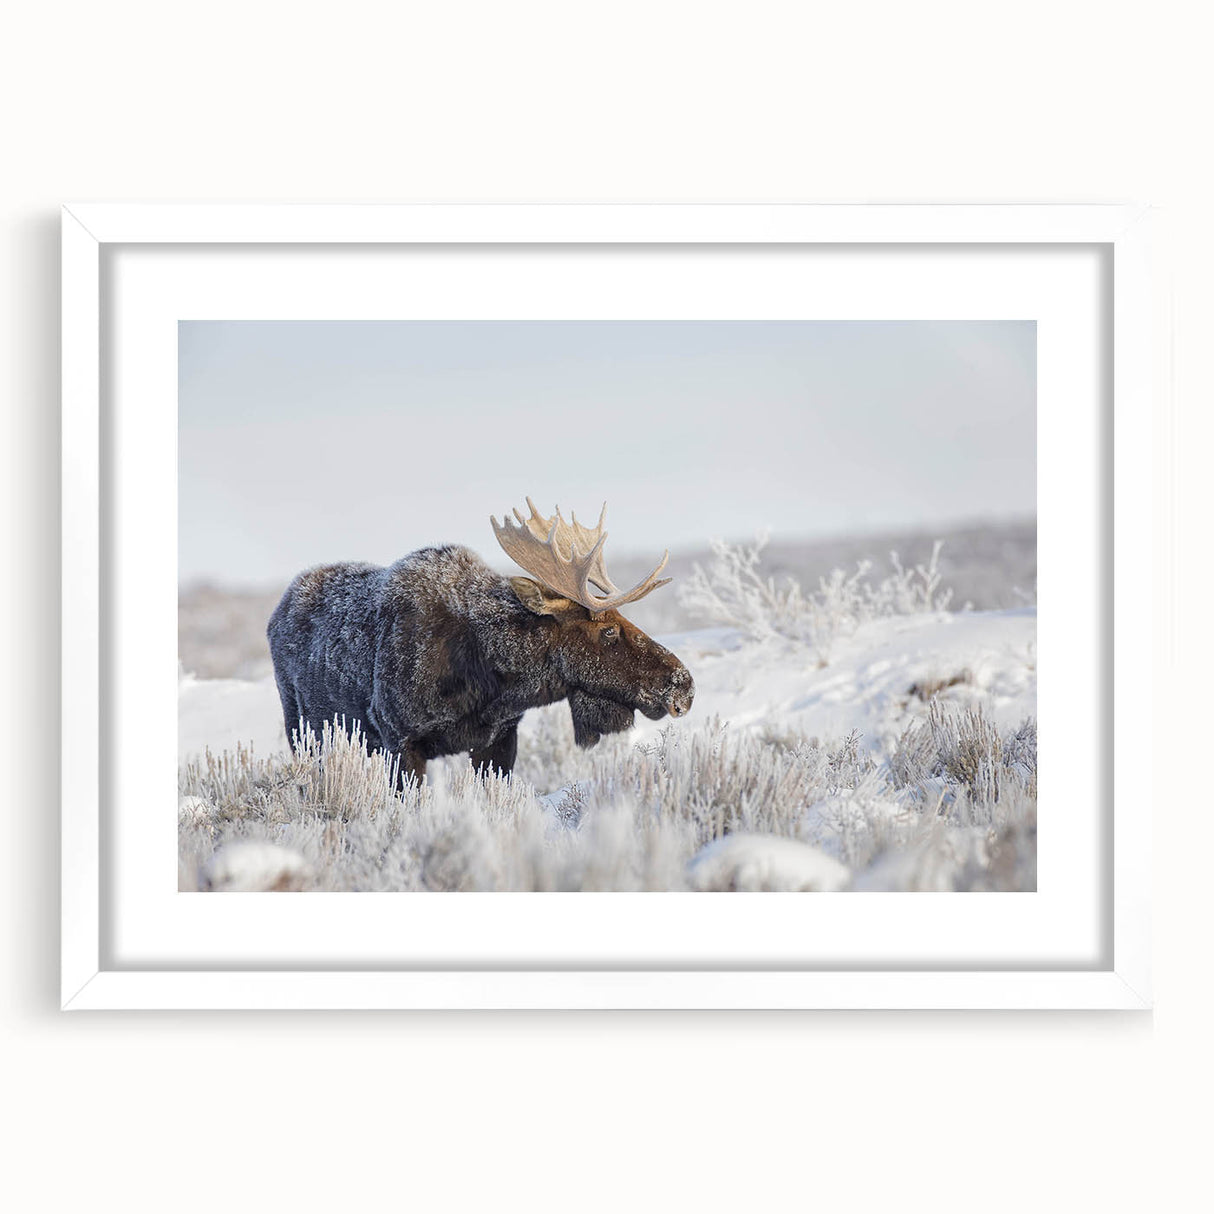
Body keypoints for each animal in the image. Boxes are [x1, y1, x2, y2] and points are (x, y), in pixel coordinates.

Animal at [267, 499, 695, 785]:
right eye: (608, 630)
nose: (684, 686)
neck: (490, 679)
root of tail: (276, 612)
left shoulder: (499, 740)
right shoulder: (400, 740)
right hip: (305, 734)